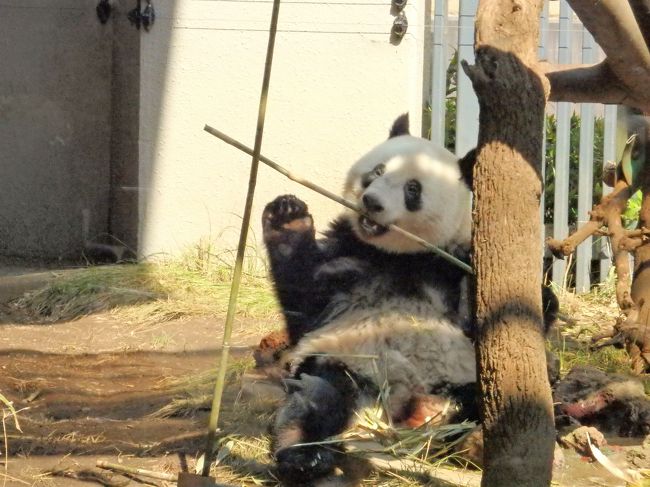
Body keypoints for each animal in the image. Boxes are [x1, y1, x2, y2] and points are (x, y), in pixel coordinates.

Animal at [260, 116, 478, 486]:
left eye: (412, 189)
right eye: (377, 171)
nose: (371, 201)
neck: (400, 257)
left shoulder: (451, 263)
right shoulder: (349, 256)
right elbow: (304, 296)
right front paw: (286, 217)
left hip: (459, 381)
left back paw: (462, 433)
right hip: (347, 367)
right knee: (316, 400)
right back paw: (304, 457)